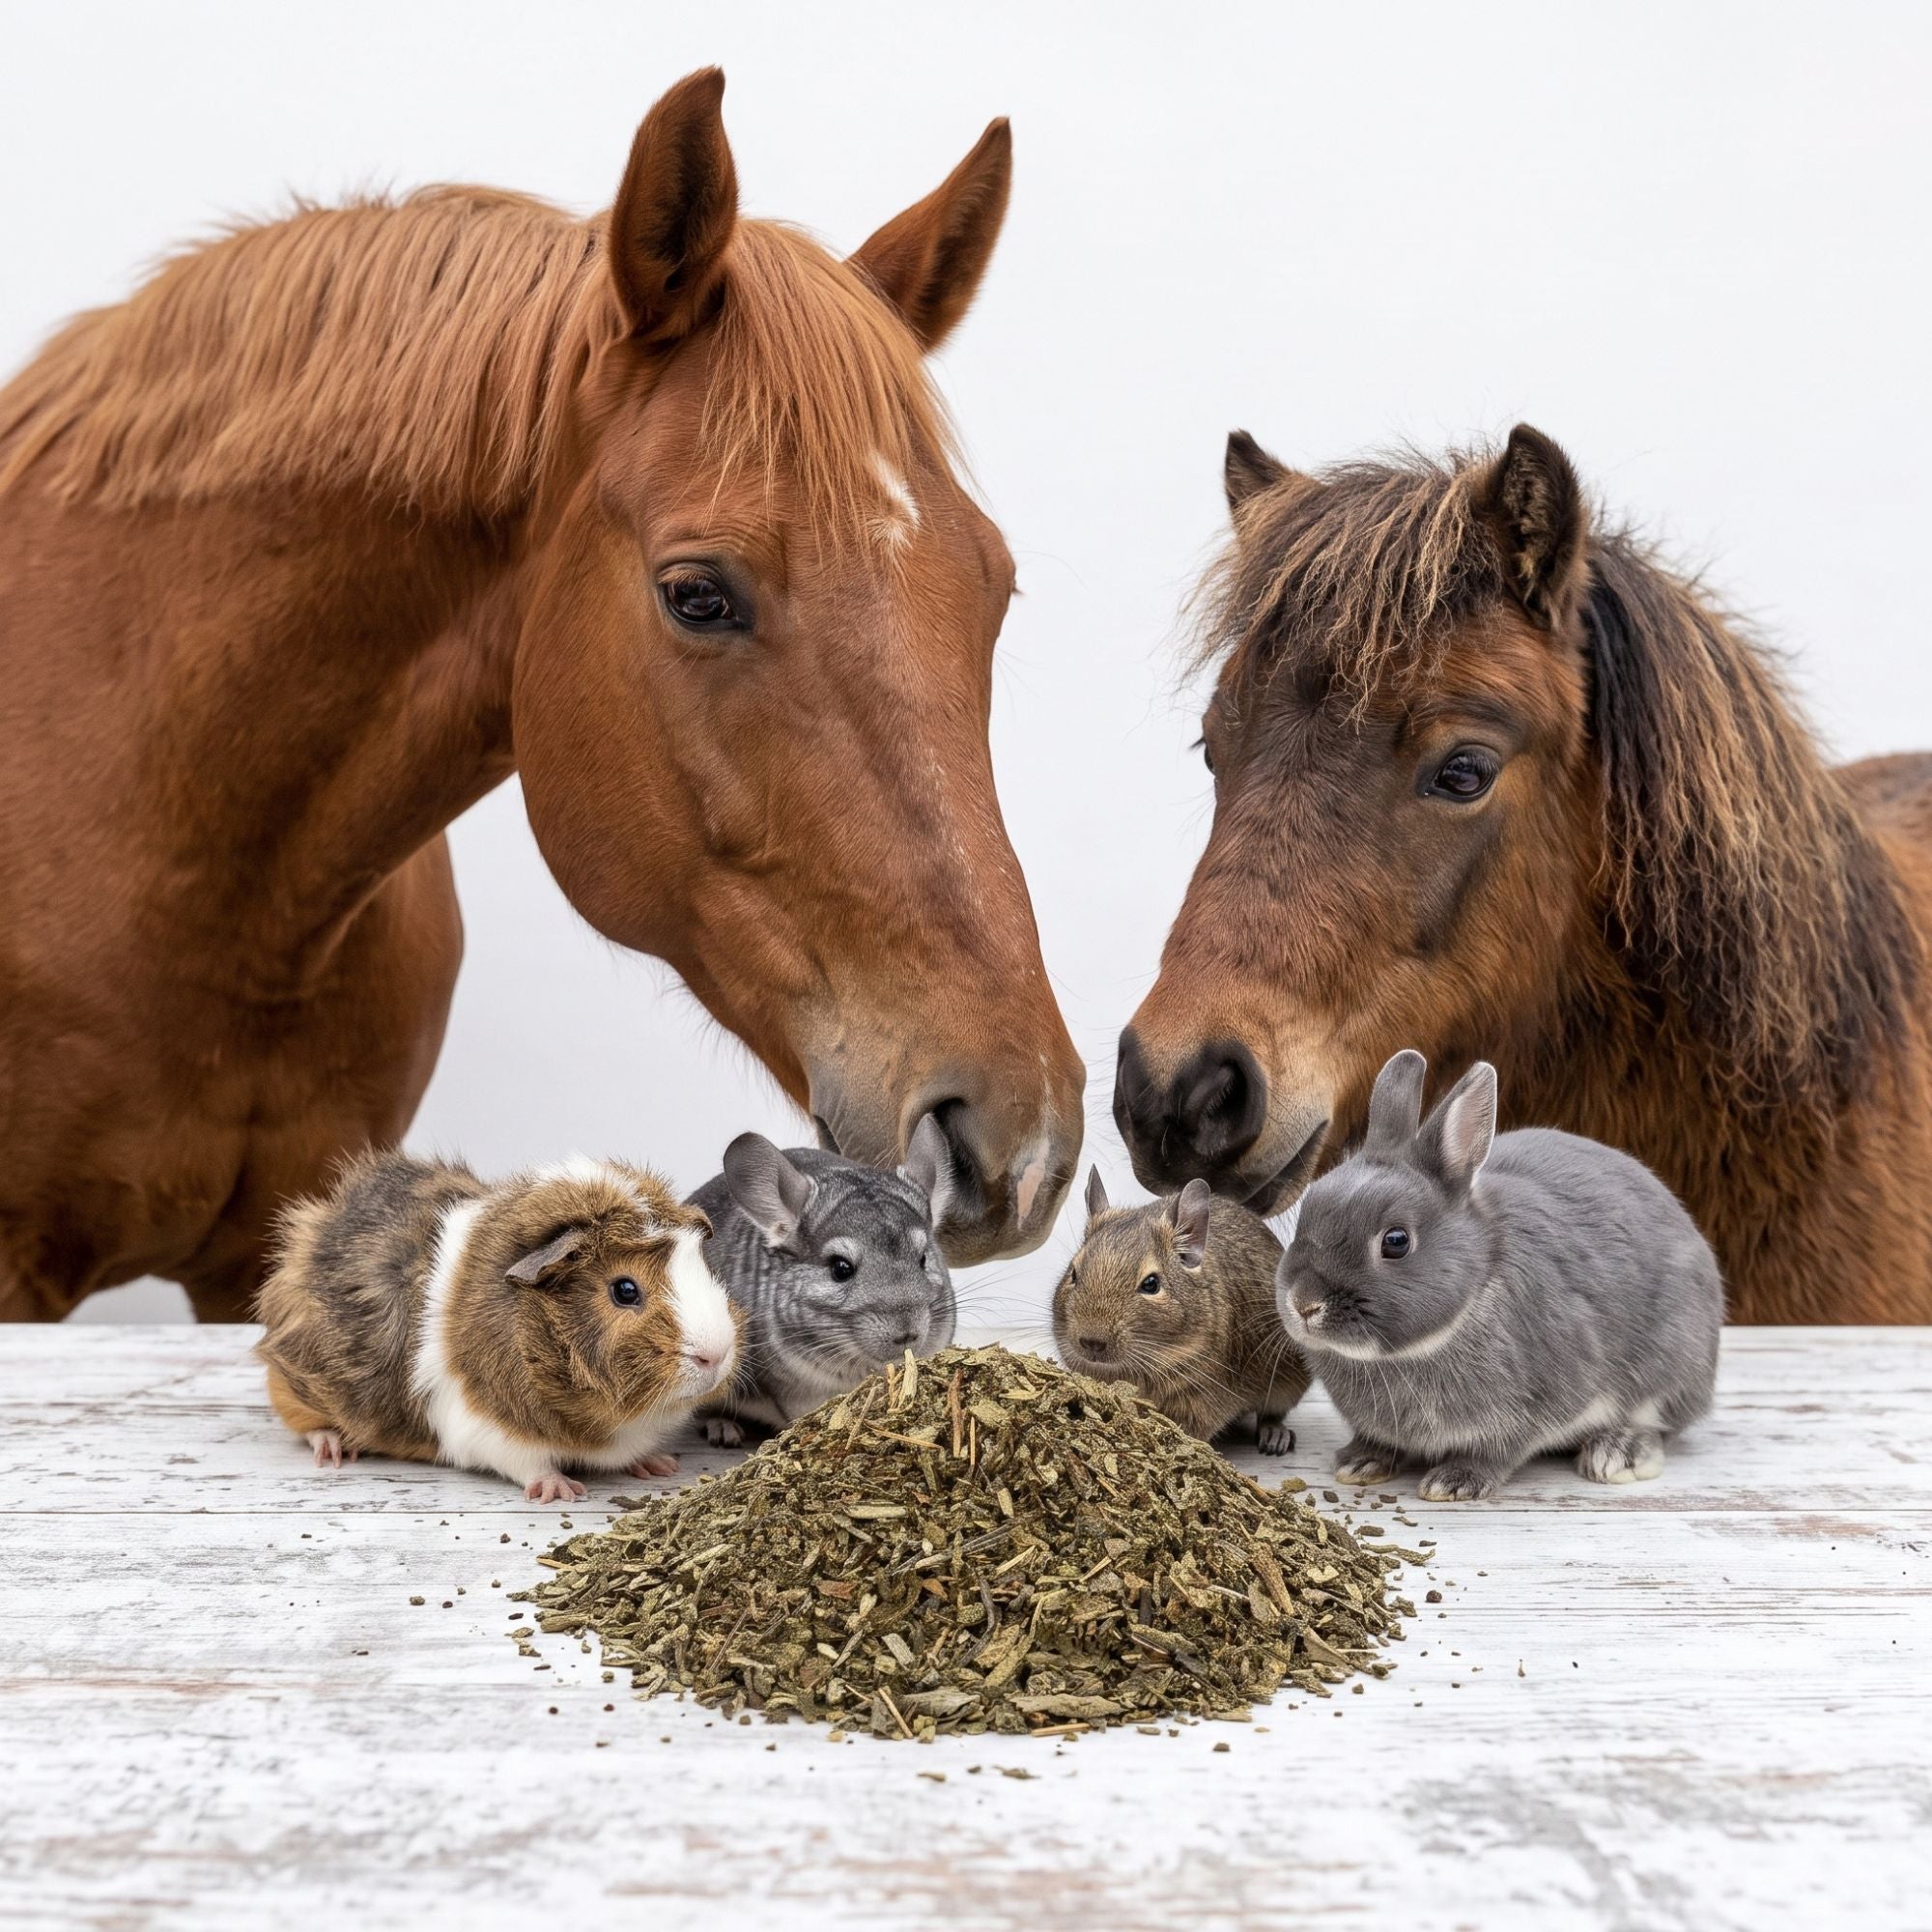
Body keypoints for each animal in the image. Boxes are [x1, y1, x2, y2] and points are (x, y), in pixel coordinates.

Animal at [256, 1150, 740, 1501]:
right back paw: (334, 1450)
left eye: (703, 1267)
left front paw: (658, 1465)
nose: (716, 1355)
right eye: (625, 1290)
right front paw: (560, 1492)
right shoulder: (486, 1429)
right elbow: (530, 1463)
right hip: (297, 1385)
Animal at [1052, 1169, 1310, 1452]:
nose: (1092, 1342)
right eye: (1073, 1274)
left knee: (1272, 1413)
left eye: (1151, 1284)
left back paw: (1275, 1437)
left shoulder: (1204, 1398)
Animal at [1277, 1050, 1722, 1501]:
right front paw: (1360, 1462)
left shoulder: (1533, 1406)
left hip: (1668, 1367)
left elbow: (1497, 1451)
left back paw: (1618, 1454)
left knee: (1660, 1425)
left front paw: (1454, 1482)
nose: (1304, 1303)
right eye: (1307, 1210)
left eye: (1396, 1241)